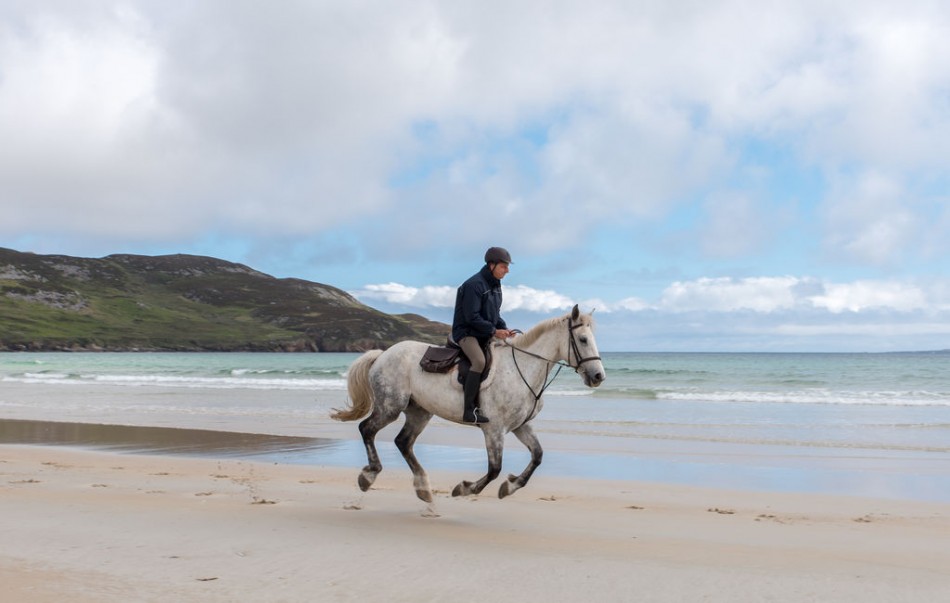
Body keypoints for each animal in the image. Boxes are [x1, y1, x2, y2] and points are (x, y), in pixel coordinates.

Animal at [330, 304, 608, 502]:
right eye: (583, 339)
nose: (598, 376)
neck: (521, 368)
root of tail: (382, 354)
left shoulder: (520, 426)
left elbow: (537, 456)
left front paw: (510, 486)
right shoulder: (494, 429)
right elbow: (495, 468)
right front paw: (465, 488)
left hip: (420, 412)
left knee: (403, 442)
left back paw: (423, 488)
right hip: (390, 407)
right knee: (367, 429)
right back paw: (369, 475)